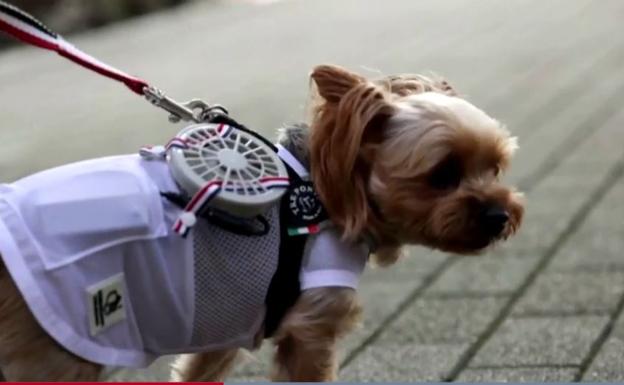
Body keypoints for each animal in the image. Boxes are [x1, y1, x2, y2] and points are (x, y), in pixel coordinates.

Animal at [0, 64, 520, 380]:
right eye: (443, 174)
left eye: (495, 167)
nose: (501, 216)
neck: (326, 195)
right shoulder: (310, 324)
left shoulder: (223, 328)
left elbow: (197, 370)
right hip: (58, 350)